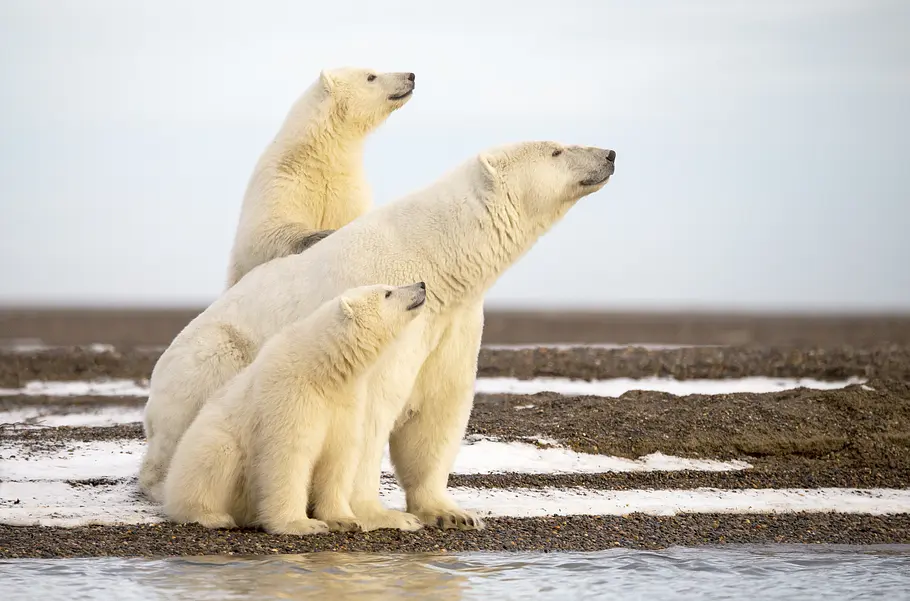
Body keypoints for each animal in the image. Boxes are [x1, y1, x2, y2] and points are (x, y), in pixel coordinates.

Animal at [161, 282, 427, 535]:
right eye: (388, 292)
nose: (422, 285)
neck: (323, 369)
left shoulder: (345, 404)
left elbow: (338, 457)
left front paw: (344, 520)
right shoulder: (290, 395)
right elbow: (288, 455)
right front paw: (302, 524)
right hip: (209, 446)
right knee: (214, 461)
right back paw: (213, 516)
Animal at [224, 67, 416, 288]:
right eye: (371, 76)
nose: (410, 75)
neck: (320, 156)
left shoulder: (347, 189)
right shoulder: (282, 181)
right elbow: (262, 232)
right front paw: (321, 234)